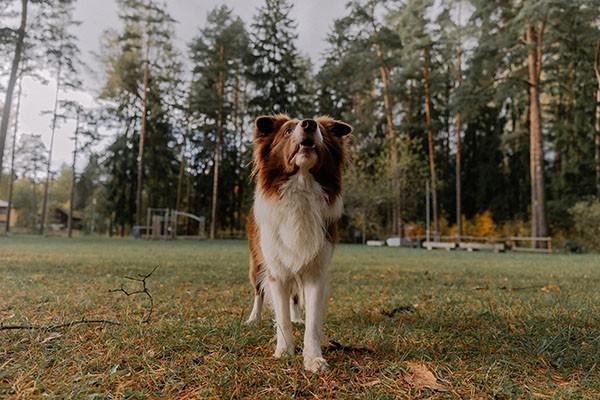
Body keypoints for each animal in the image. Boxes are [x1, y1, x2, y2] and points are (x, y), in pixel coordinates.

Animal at [245, 114, 352, 374]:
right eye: (287, 131)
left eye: (322, 130)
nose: (308, 124)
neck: (301, 188)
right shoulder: (276, 271)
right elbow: (281, 315)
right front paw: (284, 351)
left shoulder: (315, 271)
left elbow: (312, 320)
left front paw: (313, 358)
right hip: (256, 263)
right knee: (258, 291)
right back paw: (254, 318)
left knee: (294, 297)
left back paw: (297, 317)